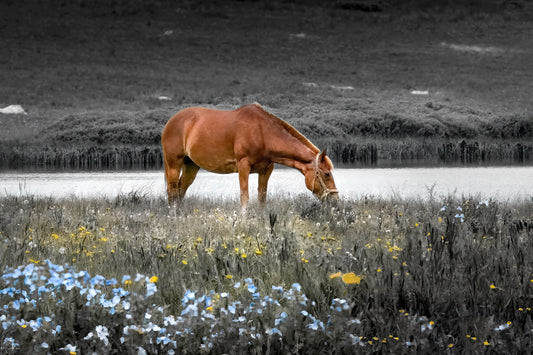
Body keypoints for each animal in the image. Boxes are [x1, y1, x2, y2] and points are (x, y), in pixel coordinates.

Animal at [160, 102, 338, 209]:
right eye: (326, 174)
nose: (335, 200)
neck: (262, 133)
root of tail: (171, 121)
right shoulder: (243, 167)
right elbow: (244, 198)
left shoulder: (266, 170)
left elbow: (261, 199)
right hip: (173, 164)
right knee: (172, 191)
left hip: (191, 166)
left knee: (181, 190)